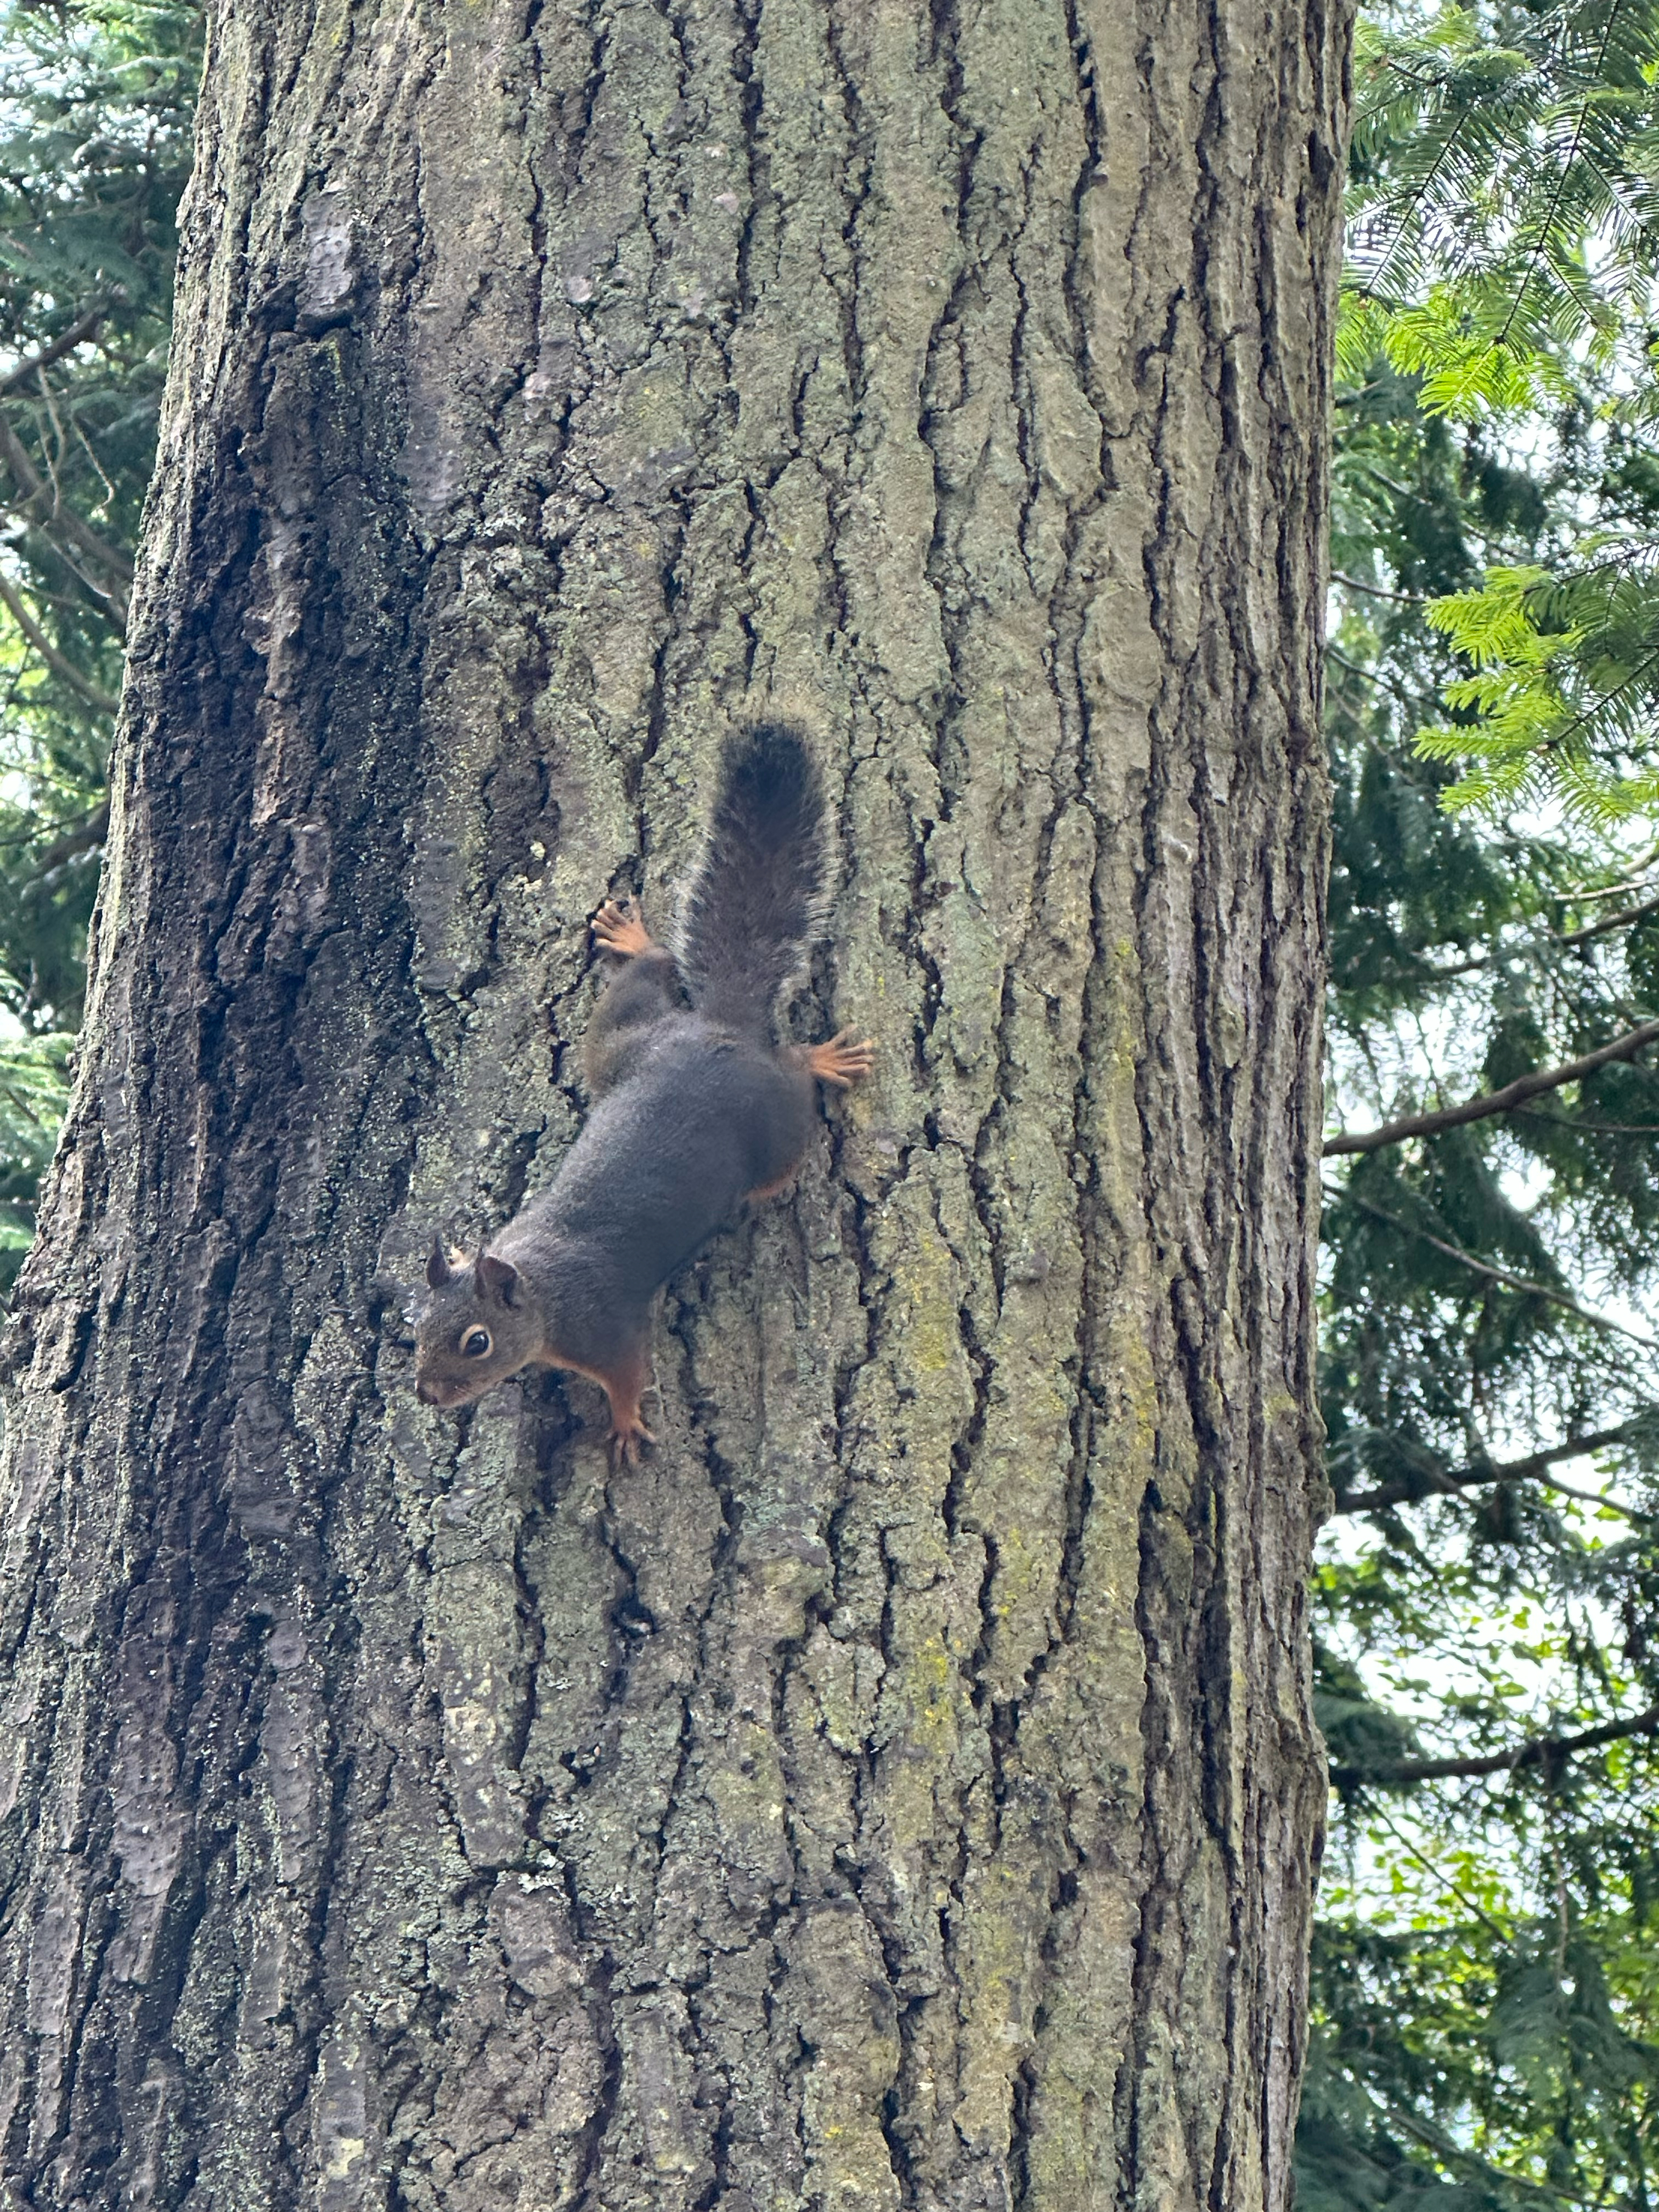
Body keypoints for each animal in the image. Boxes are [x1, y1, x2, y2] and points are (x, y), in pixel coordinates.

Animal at [414, 721, 873, 1463]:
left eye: (476, 1342)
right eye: (417, 1328)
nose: (427, 1394)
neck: (542, 1293)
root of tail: (717, 1029)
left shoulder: (607, 1328)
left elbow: (629, 1375)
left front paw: (626, 1427)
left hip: (778, 1129)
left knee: (794, 1083)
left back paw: (821, 1060)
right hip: (618, 1043)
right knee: (655, 966)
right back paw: (633, 938)